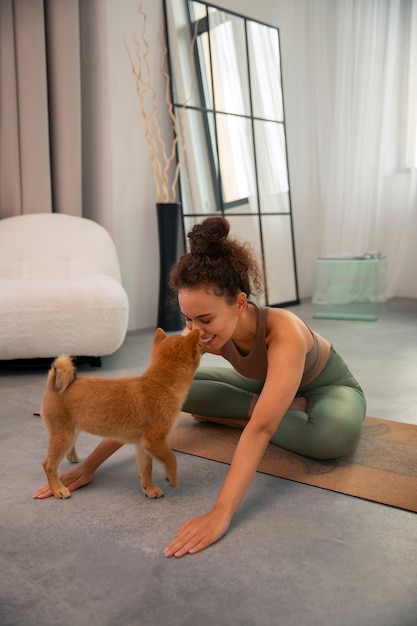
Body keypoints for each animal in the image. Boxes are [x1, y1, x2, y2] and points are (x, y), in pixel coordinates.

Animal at [40, 326, 200, 498]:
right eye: (199, 345)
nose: (203, 343)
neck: (161, 384)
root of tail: (52, 384)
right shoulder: (154, 440)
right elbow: (171, 458)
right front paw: (172, 477)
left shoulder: (143, 445)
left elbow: (146, 469)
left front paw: (149, 489)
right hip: (63, 436)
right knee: (48, 465)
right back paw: (57, 488)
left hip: (71, 432)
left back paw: (71, 456)